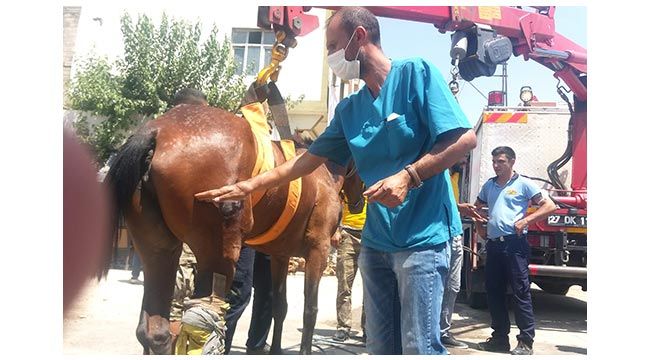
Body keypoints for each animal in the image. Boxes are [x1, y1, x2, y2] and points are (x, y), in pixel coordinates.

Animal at [104, 103, 362, 354]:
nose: (360, 203)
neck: (321, 172)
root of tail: (156, 132)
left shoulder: (280, 256)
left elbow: (279, 307)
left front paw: (276, 350)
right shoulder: (318, 249)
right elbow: (310, 310)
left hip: (159, 251)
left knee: (155, 332)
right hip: (219, 255)